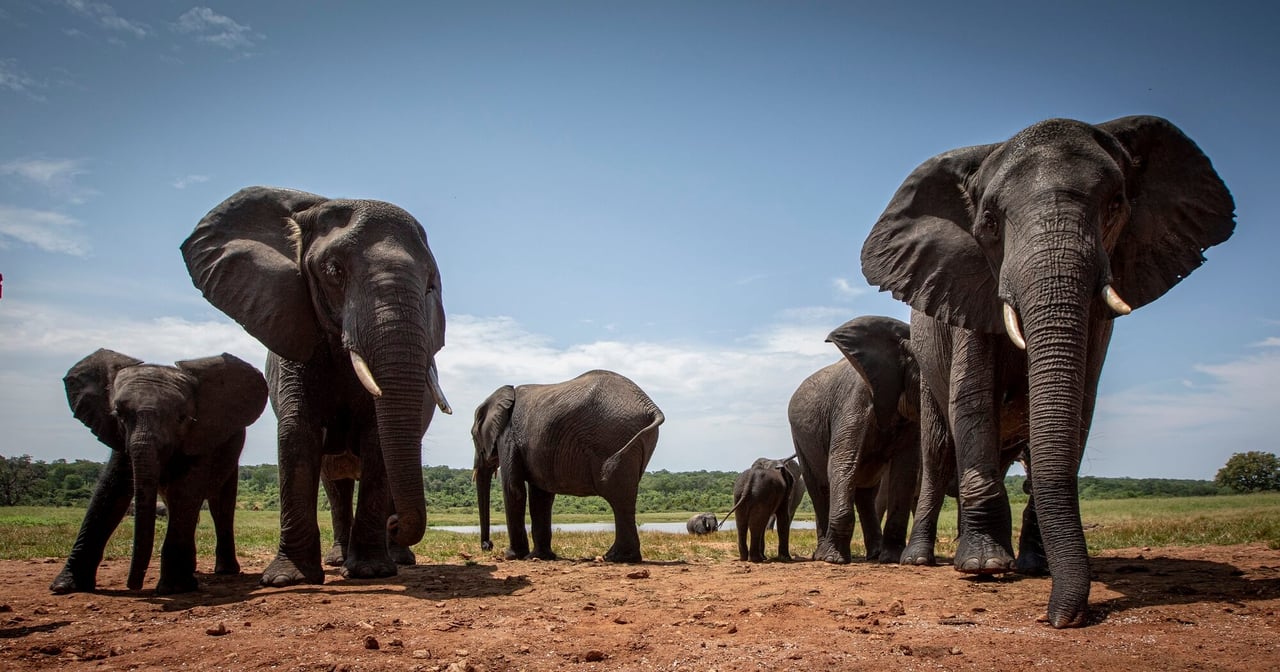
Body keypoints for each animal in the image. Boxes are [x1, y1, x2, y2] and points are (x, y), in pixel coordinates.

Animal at [50, 348, 267, 593]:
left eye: (182, 418)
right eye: (118, 414)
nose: (134, 585)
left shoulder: (202, 436)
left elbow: (187, 490)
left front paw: (175, 588)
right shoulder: (120, 439)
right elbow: (109, 492)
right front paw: (64, 586)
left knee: (220, 505)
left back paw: (224, 571)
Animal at [183, 185, 453, 583]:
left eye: (431, 284)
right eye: (333, 271)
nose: (393, 524)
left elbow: (376, 437)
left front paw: (371, 572)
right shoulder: (291, 325)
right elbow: (298, 431)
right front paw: (287, 578)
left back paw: (397, 560)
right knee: (335, 484)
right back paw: (338, 560)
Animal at [473, 368, 670, 563]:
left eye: (474, 436)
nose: (487, 546)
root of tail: (650, 407)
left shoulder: (508, 436)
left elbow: (513, 489)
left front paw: (512, 556)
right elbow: (540, 496)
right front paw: (538, 557)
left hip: (613, 436)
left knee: (617, 496)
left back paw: (616, 557)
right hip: (636, 440)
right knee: (624, 497)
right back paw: (620, 557)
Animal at [788, 314, 921, 560]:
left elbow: (906, 470)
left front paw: (892, 558)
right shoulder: (853, 404)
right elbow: (843, 461)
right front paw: (832, 559)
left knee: (866, 492)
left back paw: (875, 555)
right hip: (800, 438)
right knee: (819, 486)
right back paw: (821, 554)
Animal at [860, 113, 1239, 624]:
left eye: (1116, 204)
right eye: (989, 222)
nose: (1057, 619)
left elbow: (1081, 407)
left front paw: (1032, 567)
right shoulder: (966, 294)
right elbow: (972, 399)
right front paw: (982, 568)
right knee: (938, 450)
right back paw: (927, 560)